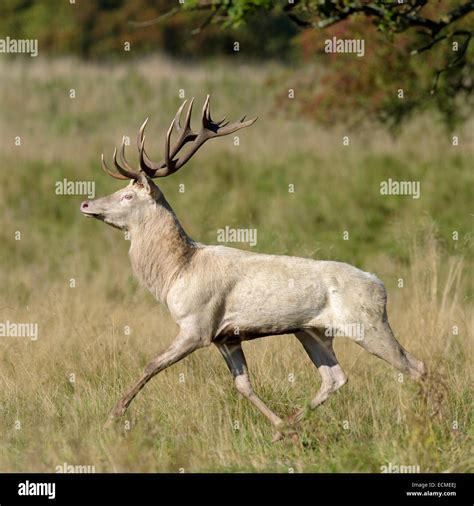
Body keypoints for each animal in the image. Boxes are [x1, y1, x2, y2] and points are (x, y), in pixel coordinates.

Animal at [80, 96, 426, 442]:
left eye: (128, 195)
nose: (86, 204)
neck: (177, 272)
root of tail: (380, 284)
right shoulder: (225, 337)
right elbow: (243, 385)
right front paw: (280, 428)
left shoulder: (197, 326)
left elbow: (150, 365)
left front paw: (111, 418)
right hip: (311, 331)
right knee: (335, 378)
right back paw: (289, 428)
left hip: (367, 324)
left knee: (414, 366)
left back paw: (426, 420)